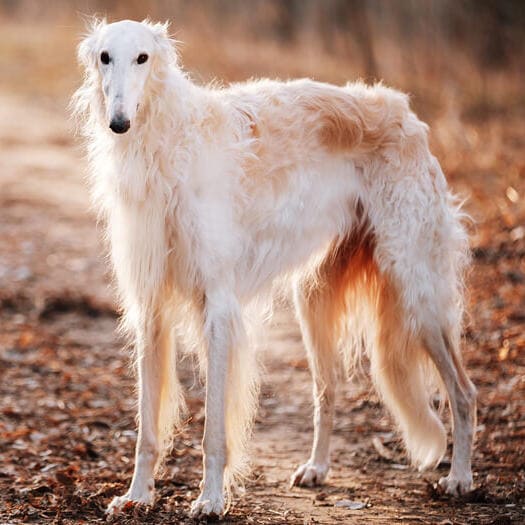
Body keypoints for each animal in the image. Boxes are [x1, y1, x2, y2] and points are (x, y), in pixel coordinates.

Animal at [71, 18, 476, 516]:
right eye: (104, 57)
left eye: (142, 58)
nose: (119, 123)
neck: (168, 144)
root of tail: (407, 115)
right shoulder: (151, 307)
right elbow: (147, 428)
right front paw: (136, 496)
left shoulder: (217, 305)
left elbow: (214, 430)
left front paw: (210, 499)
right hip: (315, 299)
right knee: (327, 390)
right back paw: (317, 468)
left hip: (417, 290)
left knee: (464, 391)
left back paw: (460, 478)